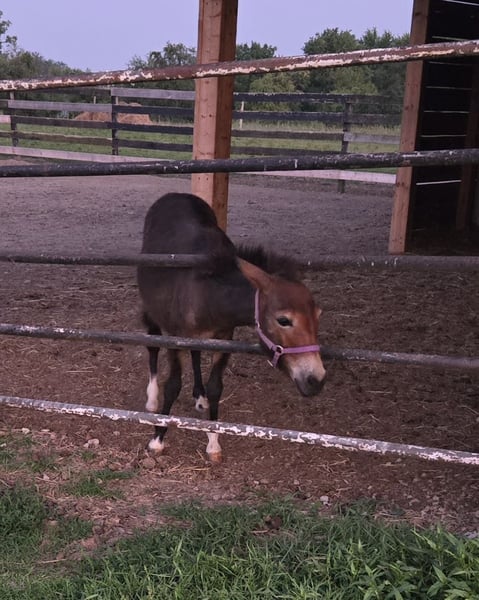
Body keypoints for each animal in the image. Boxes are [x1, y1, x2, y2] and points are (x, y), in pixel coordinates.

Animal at [137, 192, 326, 462]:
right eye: (284, 320)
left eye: (318, 315)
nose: (316, 380)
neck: (208, 294)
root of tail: (175, 194)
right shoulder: (176, 338)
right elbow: (172, 385)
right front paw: (158, 438)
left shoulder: (224, 338)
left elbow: (216, 387)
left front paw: (213, 441)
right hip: (152, 310)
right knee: (152, 343)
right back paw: (152, 399)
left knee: (196, 354)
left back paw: (200, 396)